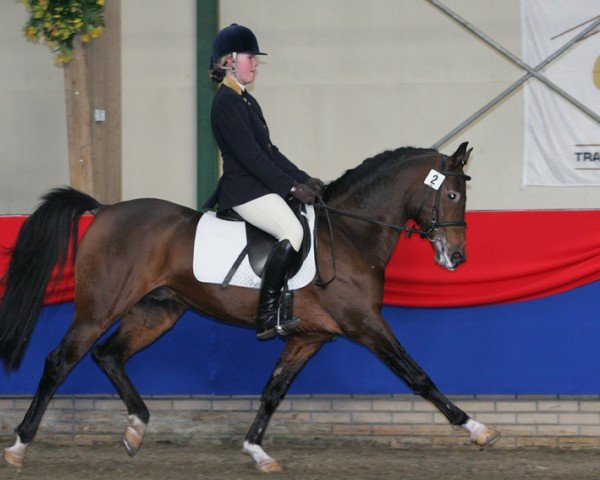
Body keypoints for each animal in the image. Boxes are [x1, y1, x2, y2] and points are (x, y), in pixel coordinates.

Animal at [1, 142, 496, 472]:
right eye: (452, 195)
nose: (457, 258)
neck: (350, 235)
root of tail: (103, 210)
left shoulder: (310, 336)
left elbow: (273, 390)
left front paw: (256, 450)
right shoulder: (366, 324)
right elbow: (417, 376)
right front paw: (476, 428)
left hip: (156, 311)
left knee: (109, 355)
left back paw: (136, 428)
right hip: (100, 307)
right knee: (61, 360)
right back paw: (20, 446)